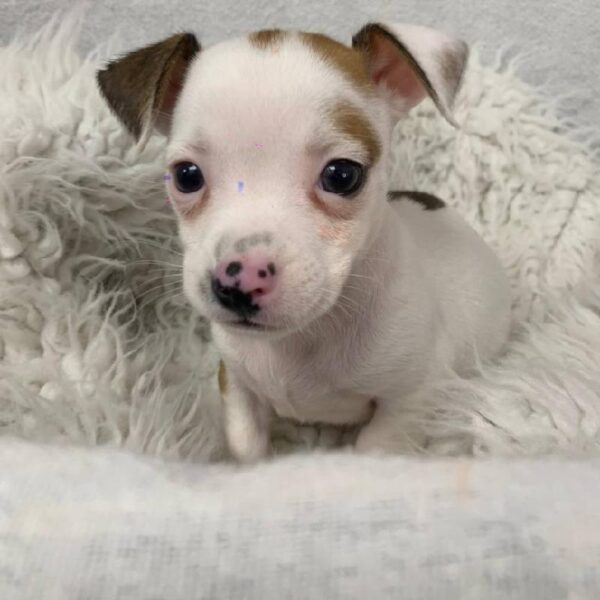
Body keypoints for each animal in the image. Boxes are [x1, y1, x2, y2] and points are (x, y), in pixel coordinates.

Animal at [98, 21, 510, 462]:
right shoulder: (237, 383)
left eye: (342, 176)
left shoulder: (408, 399)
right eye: (186, 176)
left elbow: (376, 449)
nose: (239, 281)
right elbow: (247, 445)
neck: (303, 338)